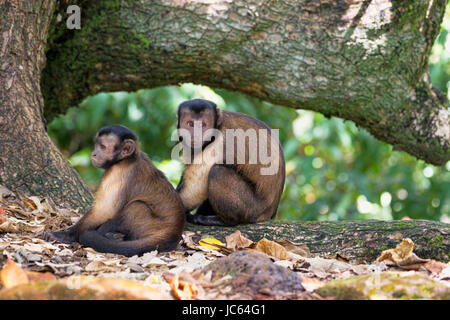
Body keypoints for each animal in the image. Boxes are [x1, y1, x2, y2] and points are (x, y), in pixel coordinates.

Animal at [44, 125, 185, 258]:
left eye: (102, 147)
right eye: (96, 145)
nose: (93, 154)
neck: (128, 159)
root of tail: (172, 235)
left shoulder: (116, 173)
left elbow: (104, 211)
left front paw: (66, 235)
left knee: (136, 206)